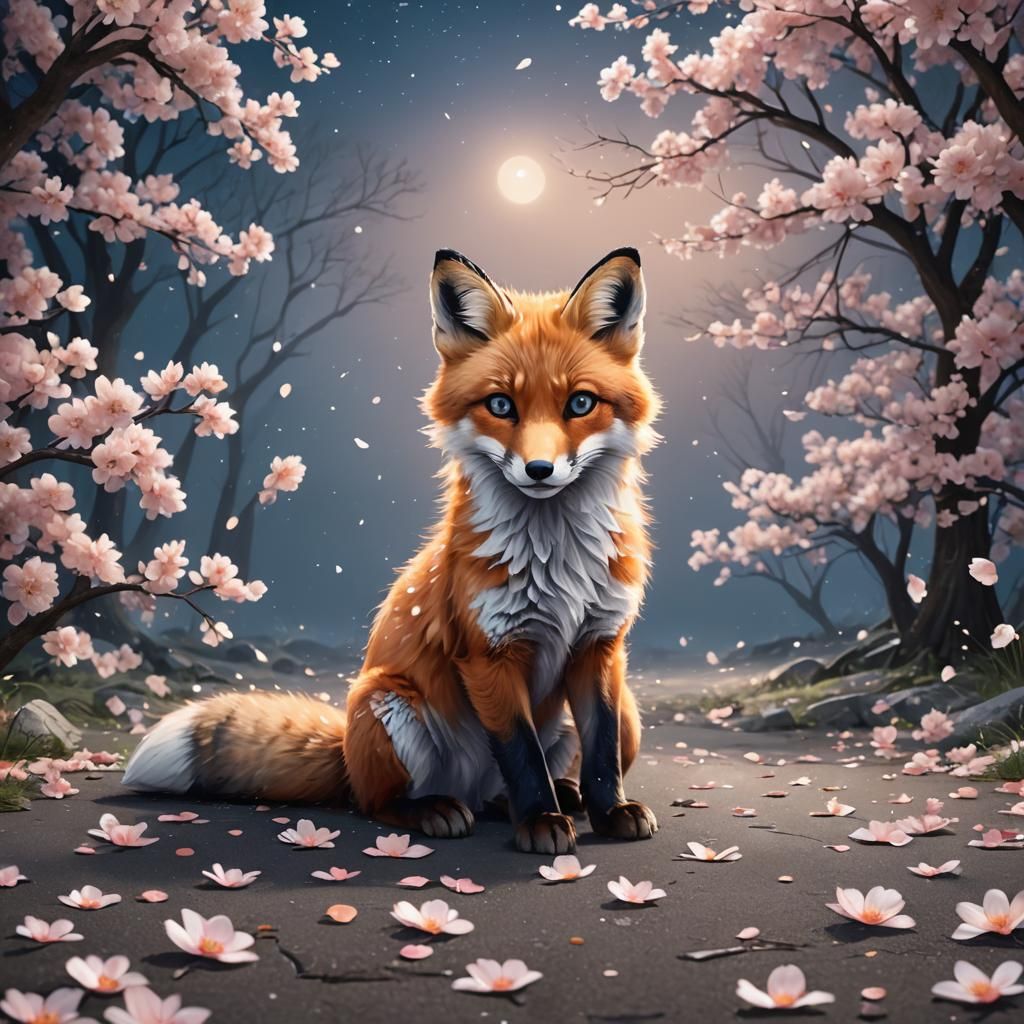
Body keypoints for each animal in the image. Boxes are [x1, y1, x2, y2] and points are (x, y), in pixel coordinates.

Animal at [123, 246, 661, 854]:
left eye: (580, 403)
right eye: (501, 405)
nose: (540, 470)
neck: (557, 561)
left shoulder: (600, 646)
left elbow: (601, 754)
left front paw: (609, 812)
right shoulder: (489, 654)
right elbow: (522, 755)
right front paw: (541, 823)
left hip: (627, 712)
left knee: (531, 779)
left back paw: (556, 798)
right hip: (386, 704)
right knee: (377, 803)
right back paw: (438, 810)